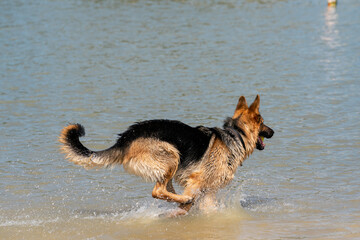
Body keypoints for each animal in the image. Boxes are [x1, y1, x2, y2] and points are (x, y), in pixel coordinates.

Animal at [59, 94, 272, 217]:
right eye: (262, 122)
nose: (273, 132)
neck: (236, 134)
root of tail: (125, 138)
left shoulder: (207, 191)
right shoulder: (197, 183)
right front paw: (182, 210)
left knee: (165, 191)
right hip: (171, 156)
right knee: (158, 191)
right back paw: (182, 201)